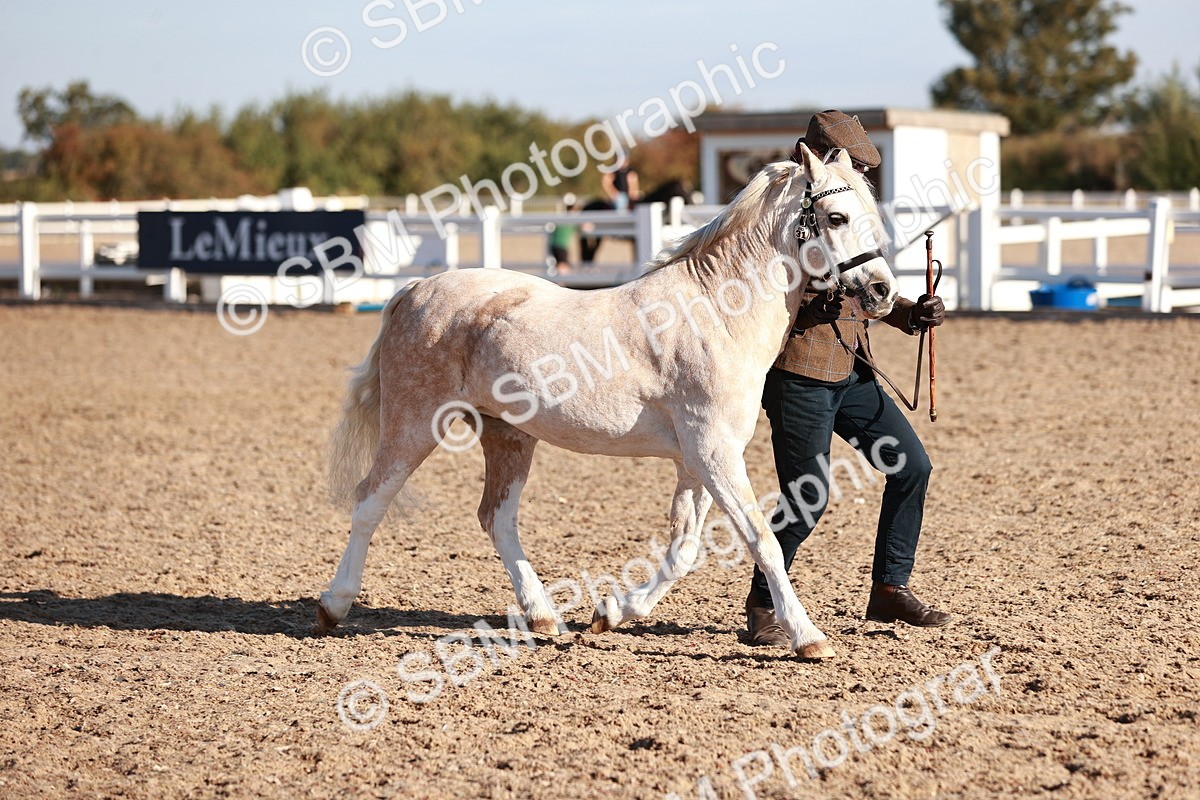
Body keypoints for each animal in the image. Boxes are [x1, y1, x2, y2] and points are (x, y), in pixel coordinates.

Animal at [315, 144, 897, 660]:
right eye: (837, 216)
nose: (883, 292)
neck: (716, 311)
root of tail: (414, 290)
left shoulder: (698, 459)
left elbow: (684, 548)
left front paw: (613, 611)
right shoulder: (714, 453)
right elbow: (762, 540)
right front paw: (808, 637)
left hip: (507, 435)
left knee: (497, 517)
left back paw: (544, 618)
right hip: (415, 424)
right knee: (370, 501)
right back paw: (333, 605)